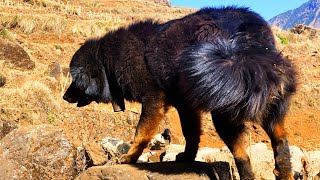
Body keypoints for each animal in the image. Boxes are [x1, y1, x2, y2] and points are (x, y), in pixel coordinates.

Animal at [63, 6, 298, 179]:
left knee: (242, 157)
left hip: (225, 112)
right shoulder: (186, 106)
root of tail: (243, 40)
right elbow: (191, 133)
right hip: (267, 100)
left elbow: (141, 133)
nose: (64, 97)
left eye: (75, 78)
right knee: (280, 144)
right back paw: (284, 170)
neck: (110, 62)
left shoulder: (154, 100)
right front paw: (187, 155)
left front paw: (129, 157)